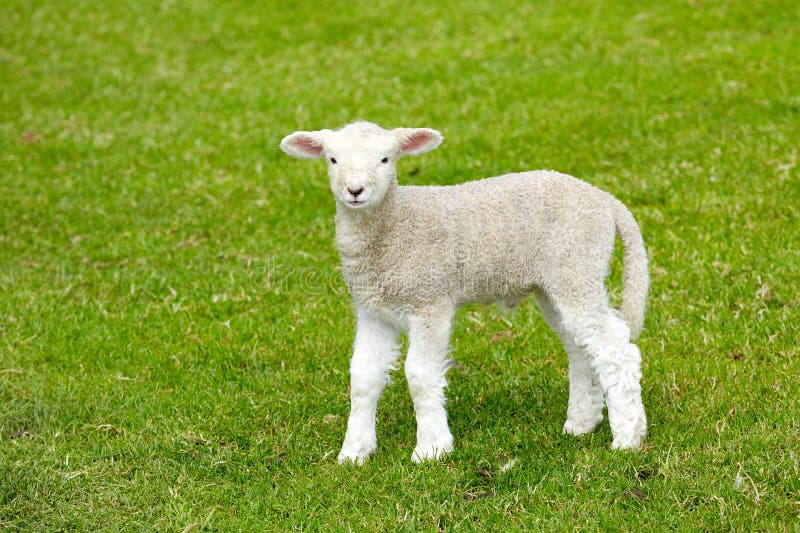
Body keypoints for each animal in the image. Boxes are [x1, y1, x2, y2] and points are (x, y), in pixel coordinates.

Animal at [278, 120, 648, 462]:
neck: (394, 226)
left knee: (614, 347)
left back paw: (628, 437)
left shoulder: (430, 302)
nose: (355, 190)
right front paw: (354, 452)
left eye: (385, 159)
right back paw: (581, 423)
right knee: (580, 348)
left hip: (577, 268)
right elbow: (363, 377)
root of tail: (607, 201)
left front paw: (431, 449)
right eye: (333, 159)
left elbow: (420, 374)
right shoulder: (373, 311)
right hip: (556, 282)